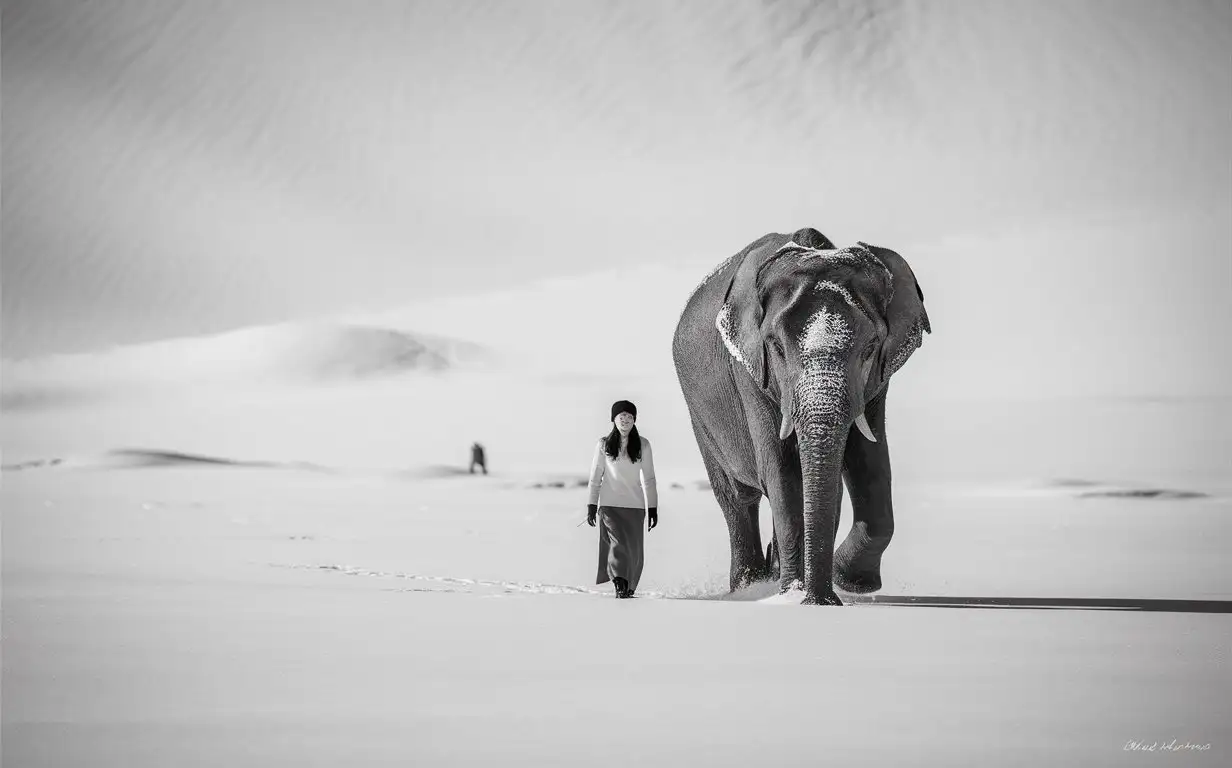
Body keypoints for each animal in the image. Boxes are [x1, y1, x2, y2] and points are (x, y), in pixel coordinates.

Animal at [670, 228, 926, 606]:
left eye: (870, 349)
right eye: (776, 347)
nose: (821, 600)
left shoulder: (877, 382)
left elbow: (867, 463)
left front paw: (842, 583)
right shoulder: (750, 373)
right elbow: (783, 472)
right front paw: (796, 595)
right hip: (699, 414)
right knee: (736, 499)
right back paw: (750, 586)